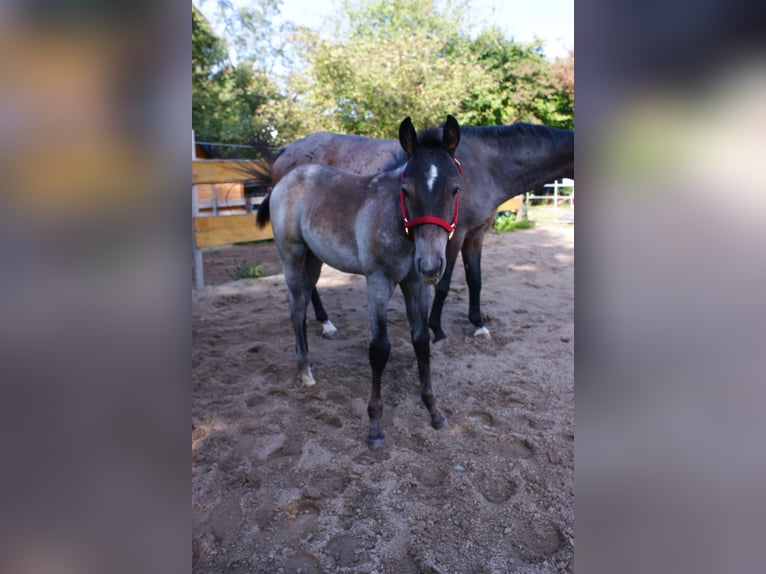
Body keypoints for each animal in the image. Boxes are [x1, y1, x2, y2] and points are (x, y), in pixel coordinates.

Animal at [253, 122, 574, 342]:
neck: (484, 164)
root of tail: (285, 152)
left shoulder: (476, 234)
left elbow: (476, 279)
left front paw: (478, 325)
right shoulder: (454, 237)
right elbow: (443, 284)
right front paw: (437, 329)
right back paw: (325, 323)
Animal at [256, 116, 462, 449]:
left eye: (454, 189)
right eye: (406, 190)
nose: (431, 265)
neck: (398, 223)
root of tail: (284, 180)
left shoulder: (416, 285)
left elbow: (420, 341)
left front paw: (434, 411)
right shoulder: (378, 282)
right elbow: (379, 349)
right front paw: (375, 426)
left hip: (314, 260)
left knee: (304, 303)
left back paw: (312, 360)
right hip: (292, 256)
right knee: (296, 309)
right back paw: (305, 372)